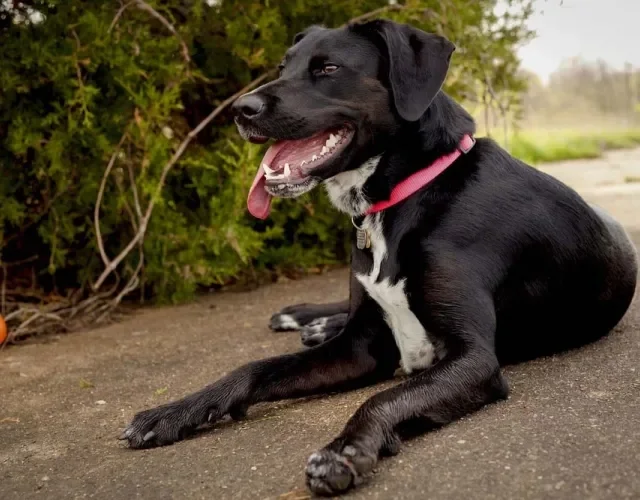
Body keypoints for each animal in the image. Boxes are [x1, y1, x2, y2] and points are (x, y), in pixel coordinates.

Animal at [121, 19, 640, 496]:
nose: (240, 110)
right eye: (282, 68)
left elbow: (384, 398)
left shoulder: (474, 360)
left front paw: (343, 451)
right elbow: (255, 368)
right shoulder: (361, 347)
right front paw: (174, 412)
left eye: (328, 68)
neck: (408, 193)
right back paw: (306, 317)